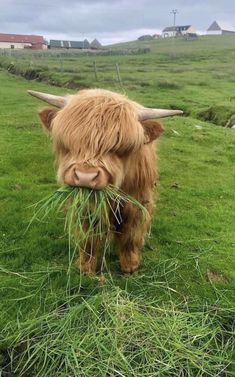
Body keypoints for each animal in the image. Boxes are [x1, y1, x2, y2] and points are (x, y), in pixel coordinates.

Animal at [28, 90, 182, 274]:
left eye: (121, 148)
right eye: (69, 143)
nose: (85, 176)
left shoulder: (137, 202)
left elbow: (131, 233)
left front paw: (130, 265)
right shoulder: (85, 206)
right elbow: (88, 236)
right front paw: (86, 267)